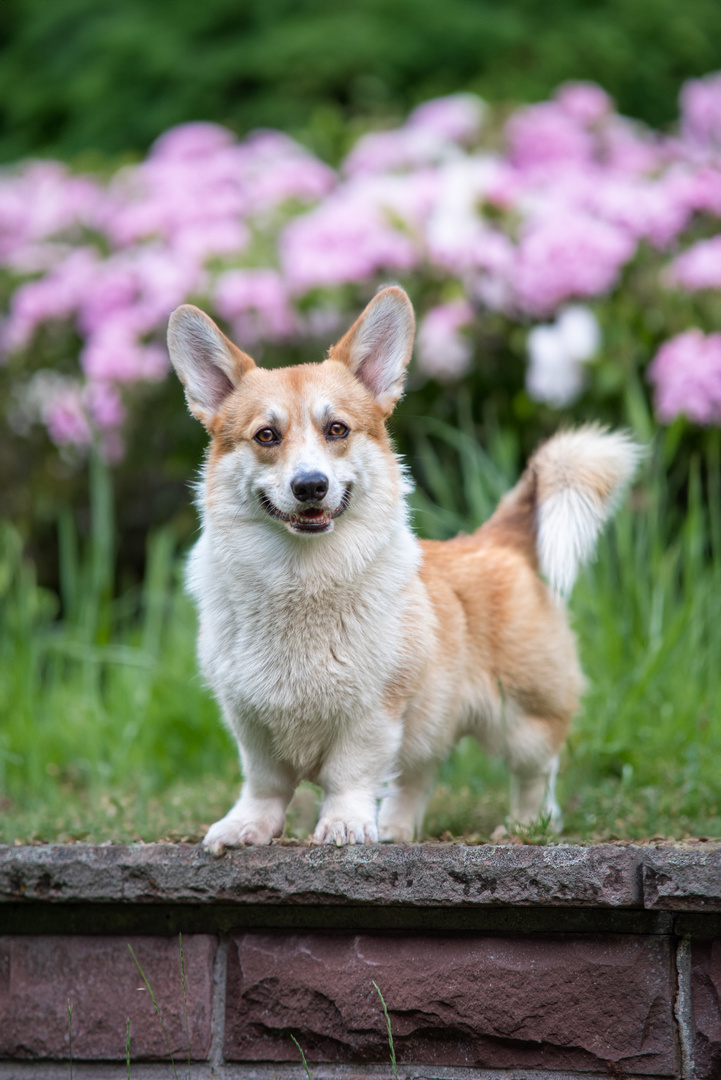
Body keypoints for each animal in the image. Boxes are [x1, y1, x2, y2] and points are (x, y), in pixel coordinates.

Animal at [166, 287, 638, 851]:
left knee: (536, 773)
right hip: (433, 721)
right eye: (266, 436)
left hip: (522, 719)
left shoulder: (373, 712)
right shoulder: (250, 718)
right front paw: (246, 827)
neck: (301, 576)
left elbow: (349, 774)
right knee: (418, 774)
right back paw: (394, 827)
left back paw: (527, 825)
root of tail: (494, 539)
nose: (310, 486)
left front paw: (345, 824)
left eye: (337, 429)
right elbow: (264, 783)